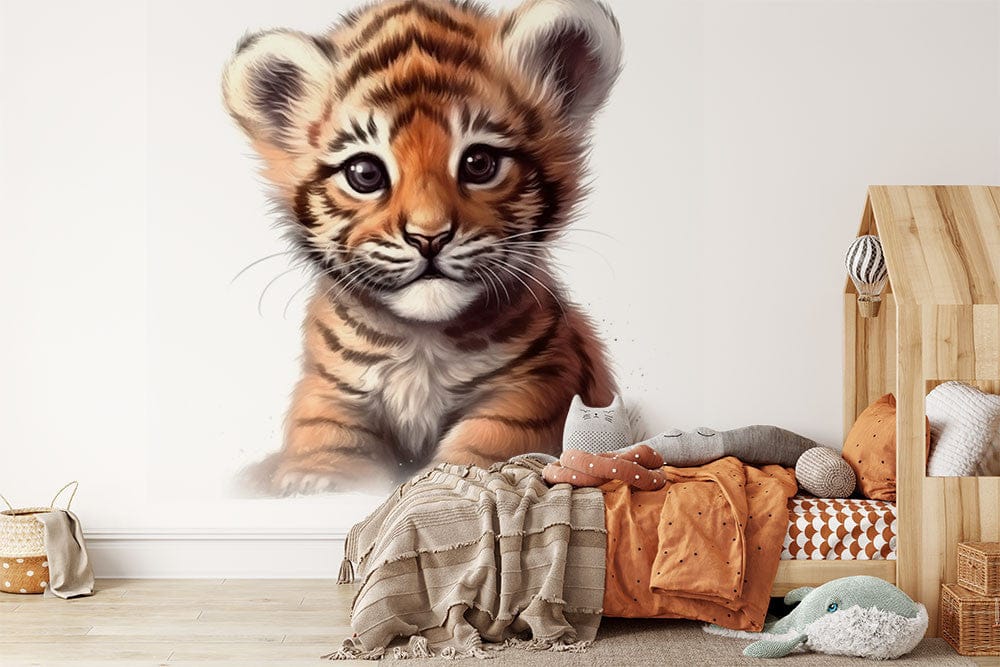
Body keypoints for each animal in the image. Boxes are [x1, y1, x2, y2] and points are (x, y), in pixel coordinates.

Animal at [222, 0, 622, 495]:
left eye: (479, 162)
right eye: (365, 173)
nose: (428, 236)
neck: (421, 344)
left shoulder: (535, 385)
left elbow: (482, 453)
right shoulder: (330, 395)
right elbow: (329, 449)